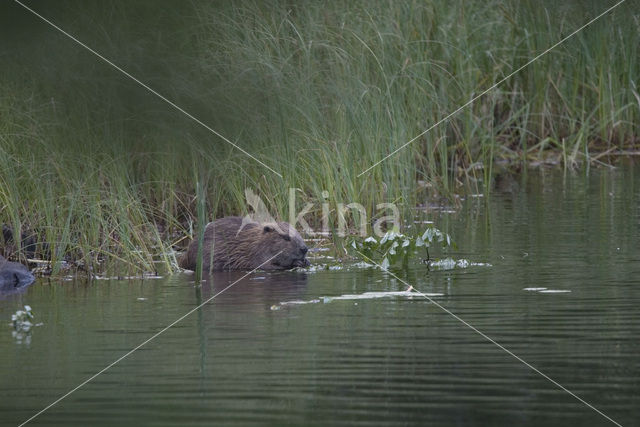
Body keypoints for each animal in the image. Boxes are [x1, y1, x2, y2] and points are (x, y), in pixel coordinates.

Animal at [180, 217, 310, 274]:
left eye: (299, 234)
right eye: (286, 237)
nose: (304, 249)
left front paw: (306, 261)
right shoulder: (256, 254)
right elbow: (266, 266)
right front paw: (297, 263)